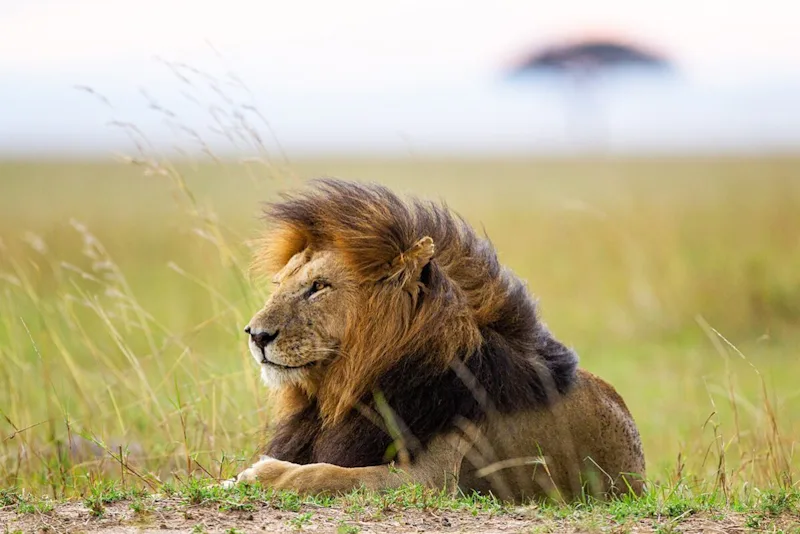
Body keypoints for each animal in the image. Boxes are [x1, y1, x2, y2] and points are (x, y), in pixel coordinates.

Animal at [230, 178, 646, 502]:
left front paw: (257, 474)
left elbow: (328, 473)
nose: (256, 335)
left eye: (318, 286)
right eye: (278, 284)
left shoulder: (431, 480)